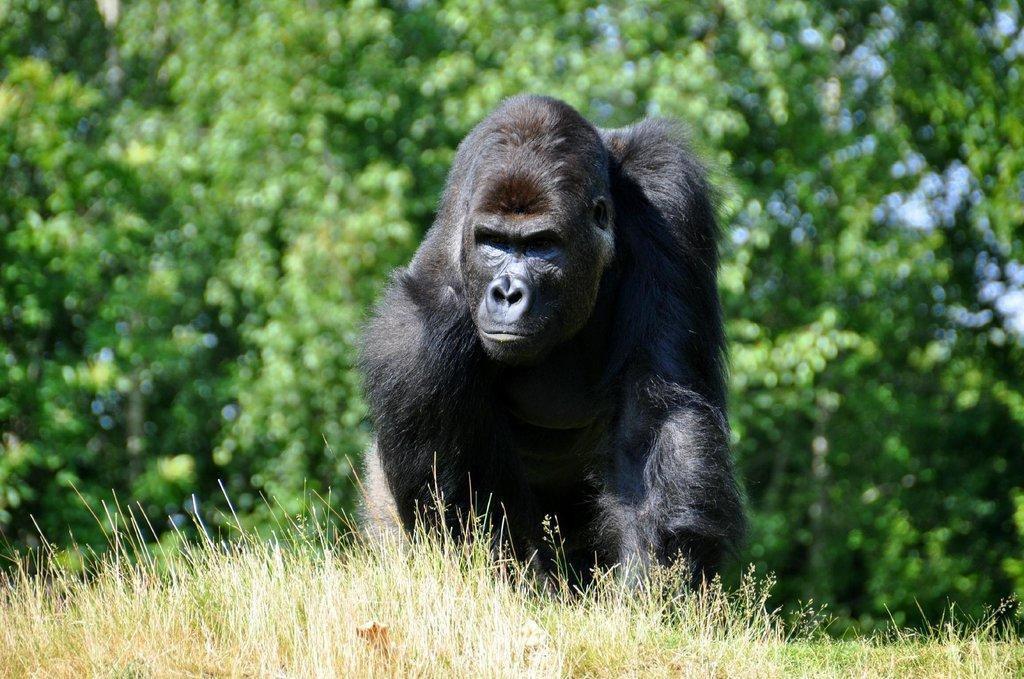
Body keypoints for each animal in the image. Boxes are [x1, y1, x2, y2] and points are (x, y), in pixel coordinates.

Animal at [360, 94, 745, 585]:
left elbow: (656, 413)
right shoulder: (416, 337)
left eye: (542, 244)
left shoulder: (668, 186)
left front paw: (652, 583)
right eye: (494, 242)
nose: (506, 292)